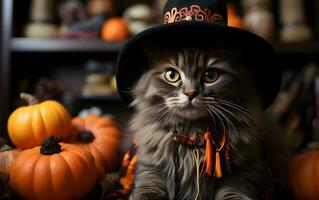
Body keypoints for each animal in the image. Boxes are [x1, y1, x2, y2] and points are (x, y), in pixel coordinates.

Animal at [129, 47, 288, 200]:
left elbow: (233, 191)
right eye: (171, 75)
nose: (190, 93)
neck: (193, 135)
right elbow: (147, 189)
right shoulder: (150, 168)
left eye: (210, 75)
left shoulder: (247, 169)